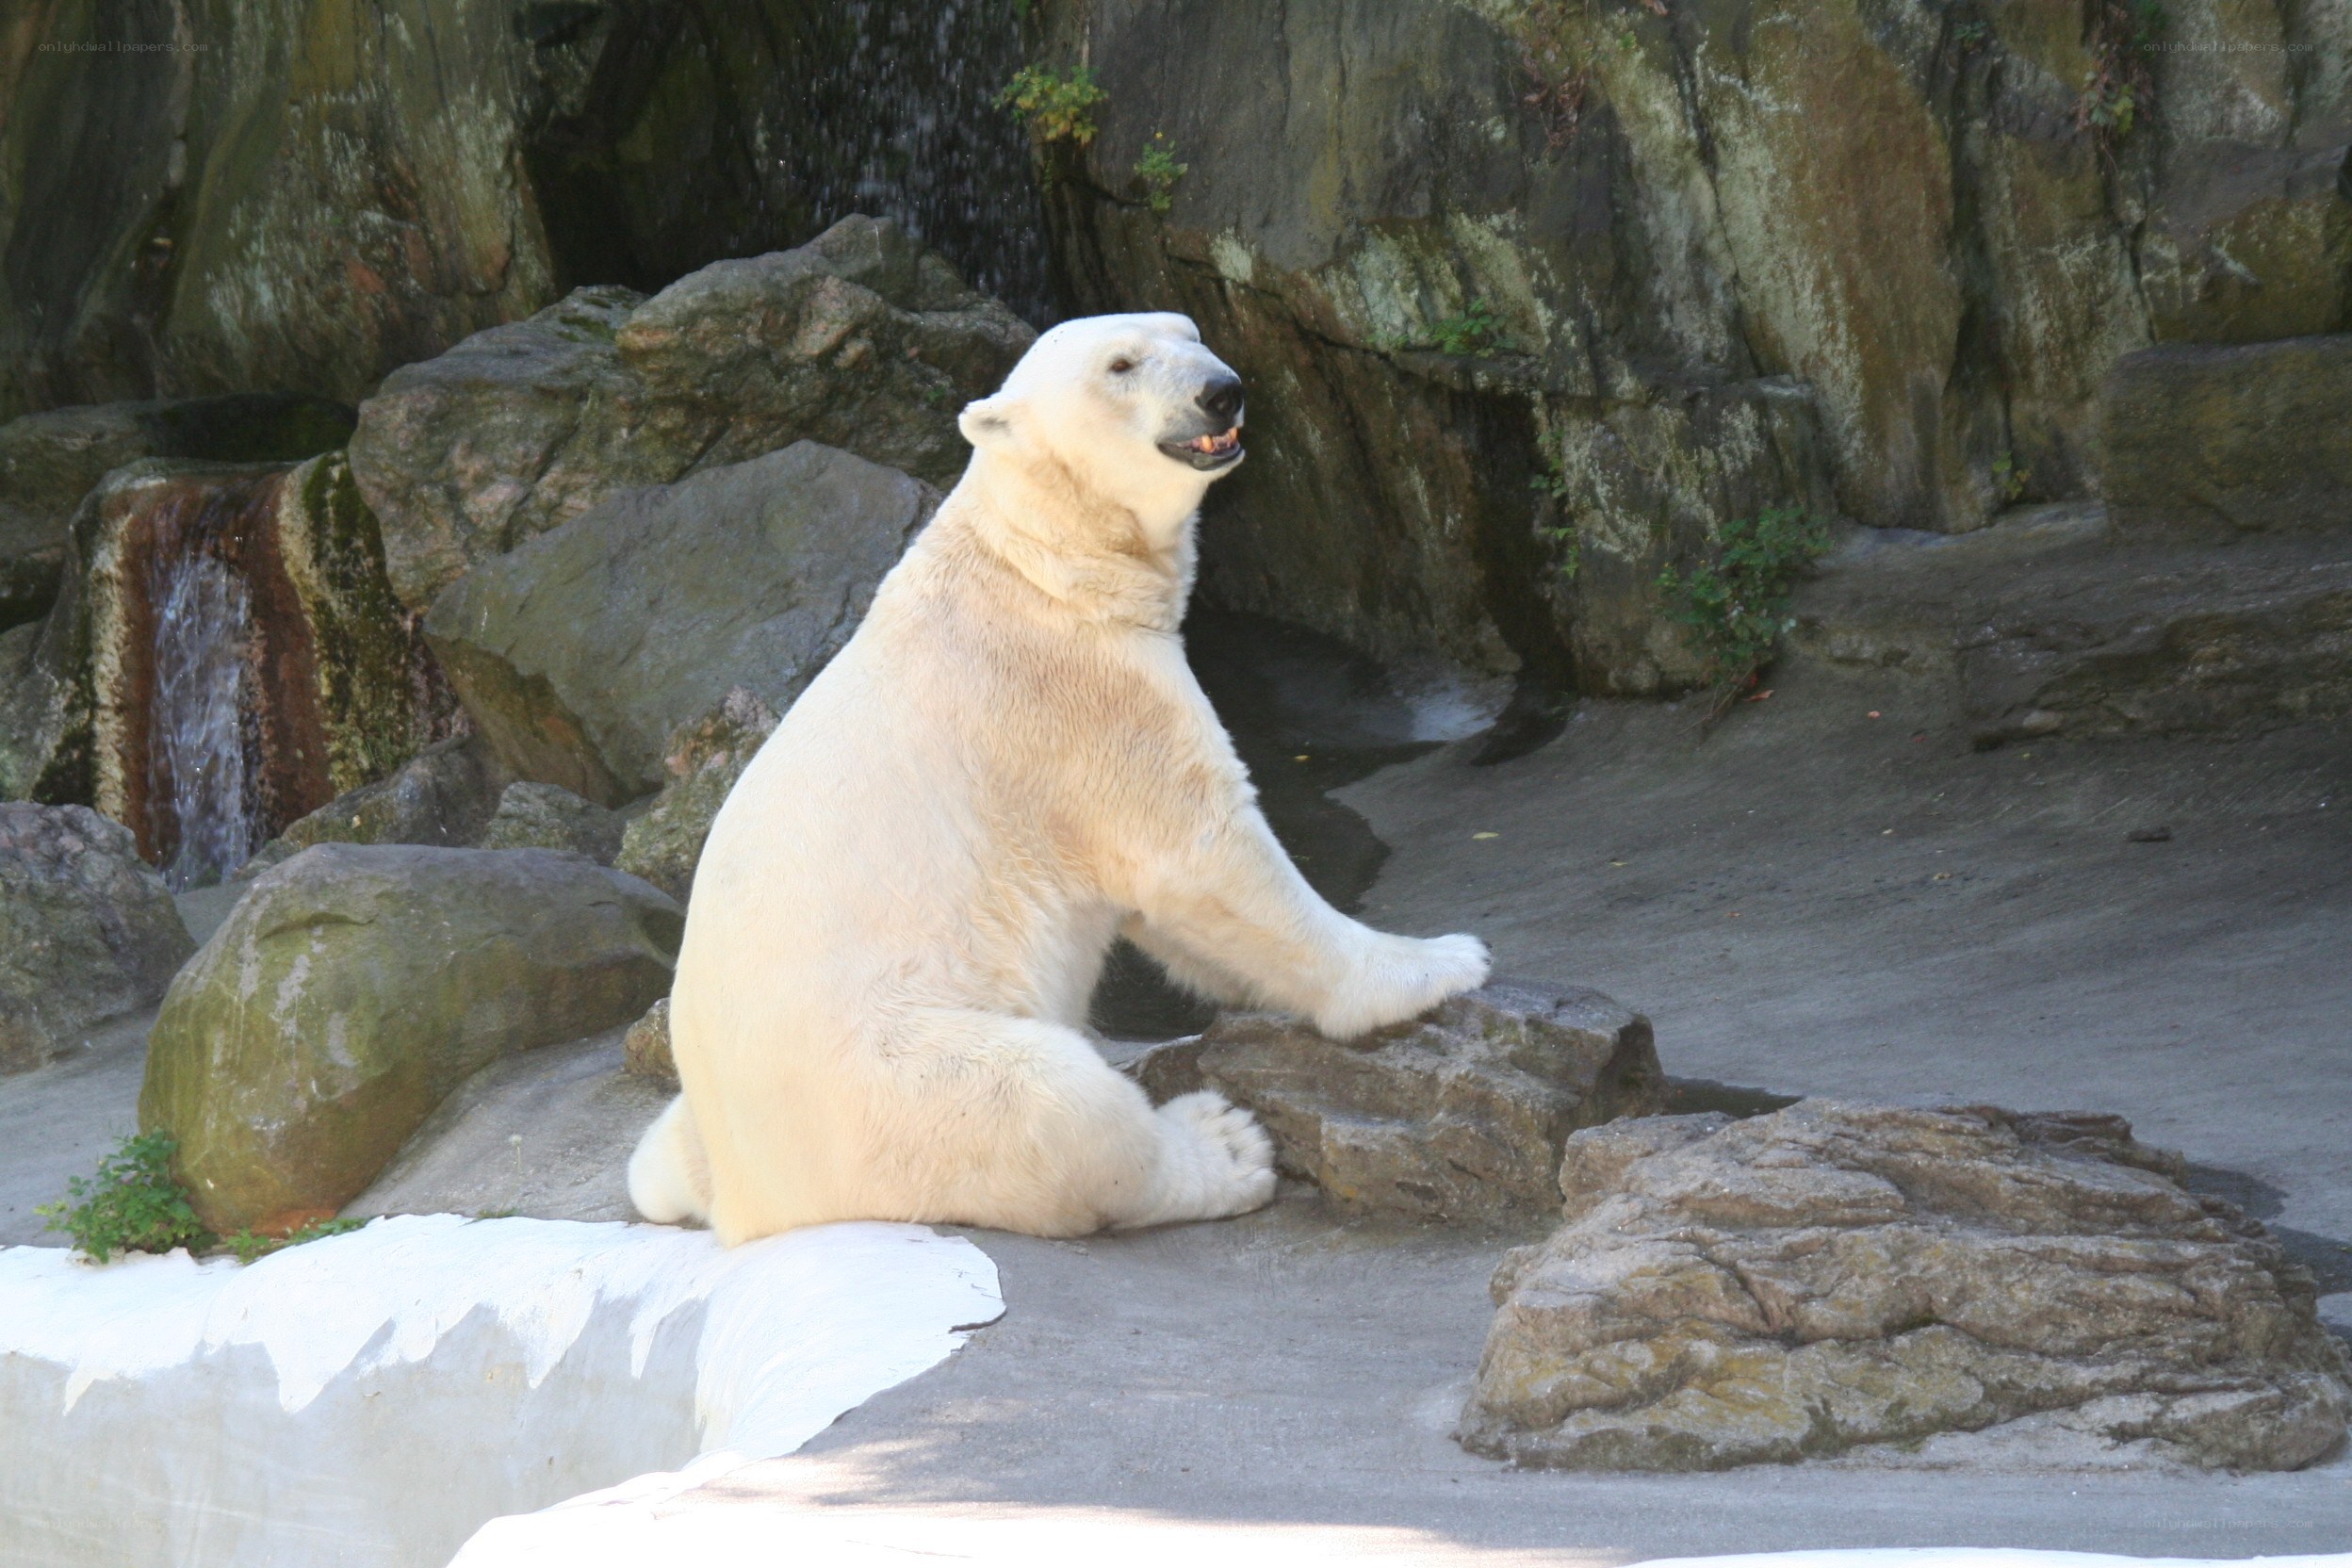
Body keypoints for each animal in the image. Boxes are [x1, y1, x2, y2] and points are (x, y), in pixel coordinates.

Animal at [627, 311, 1490, 1244]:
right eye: (1122, 363)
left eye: (1190, 330)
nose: (1222, 391)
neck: (1038, 559)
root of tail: (746, 1201)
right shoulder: (1074, 699)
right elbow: (1201, 858)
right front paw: (1440, 960)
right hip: (891, 1082)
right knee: (1053, 1102)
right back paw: (1220, 1145)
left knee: (656, 1158)